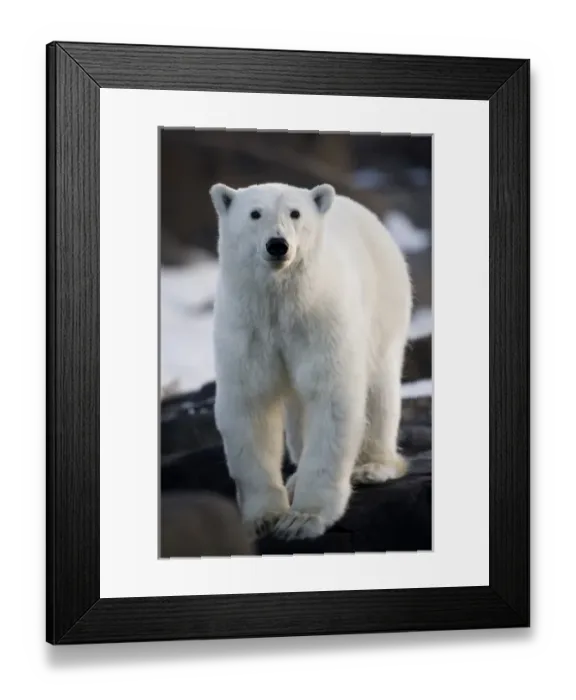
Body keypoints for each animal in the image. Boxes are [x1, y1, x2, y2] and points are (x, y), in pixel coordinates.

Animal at [208, 181, 413, 541]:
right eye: (255, 213)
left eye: (295, 213)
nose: (278, 245)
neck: (282, 303)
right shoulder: (247, 327)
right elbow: (250, 405)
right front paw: (265, 517)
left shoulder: (322, 320)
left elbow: (330, 399)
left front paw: (303, 519)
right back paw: (294, 478)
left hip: (384, 307)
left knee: (379, 389)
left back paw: (373, 466)